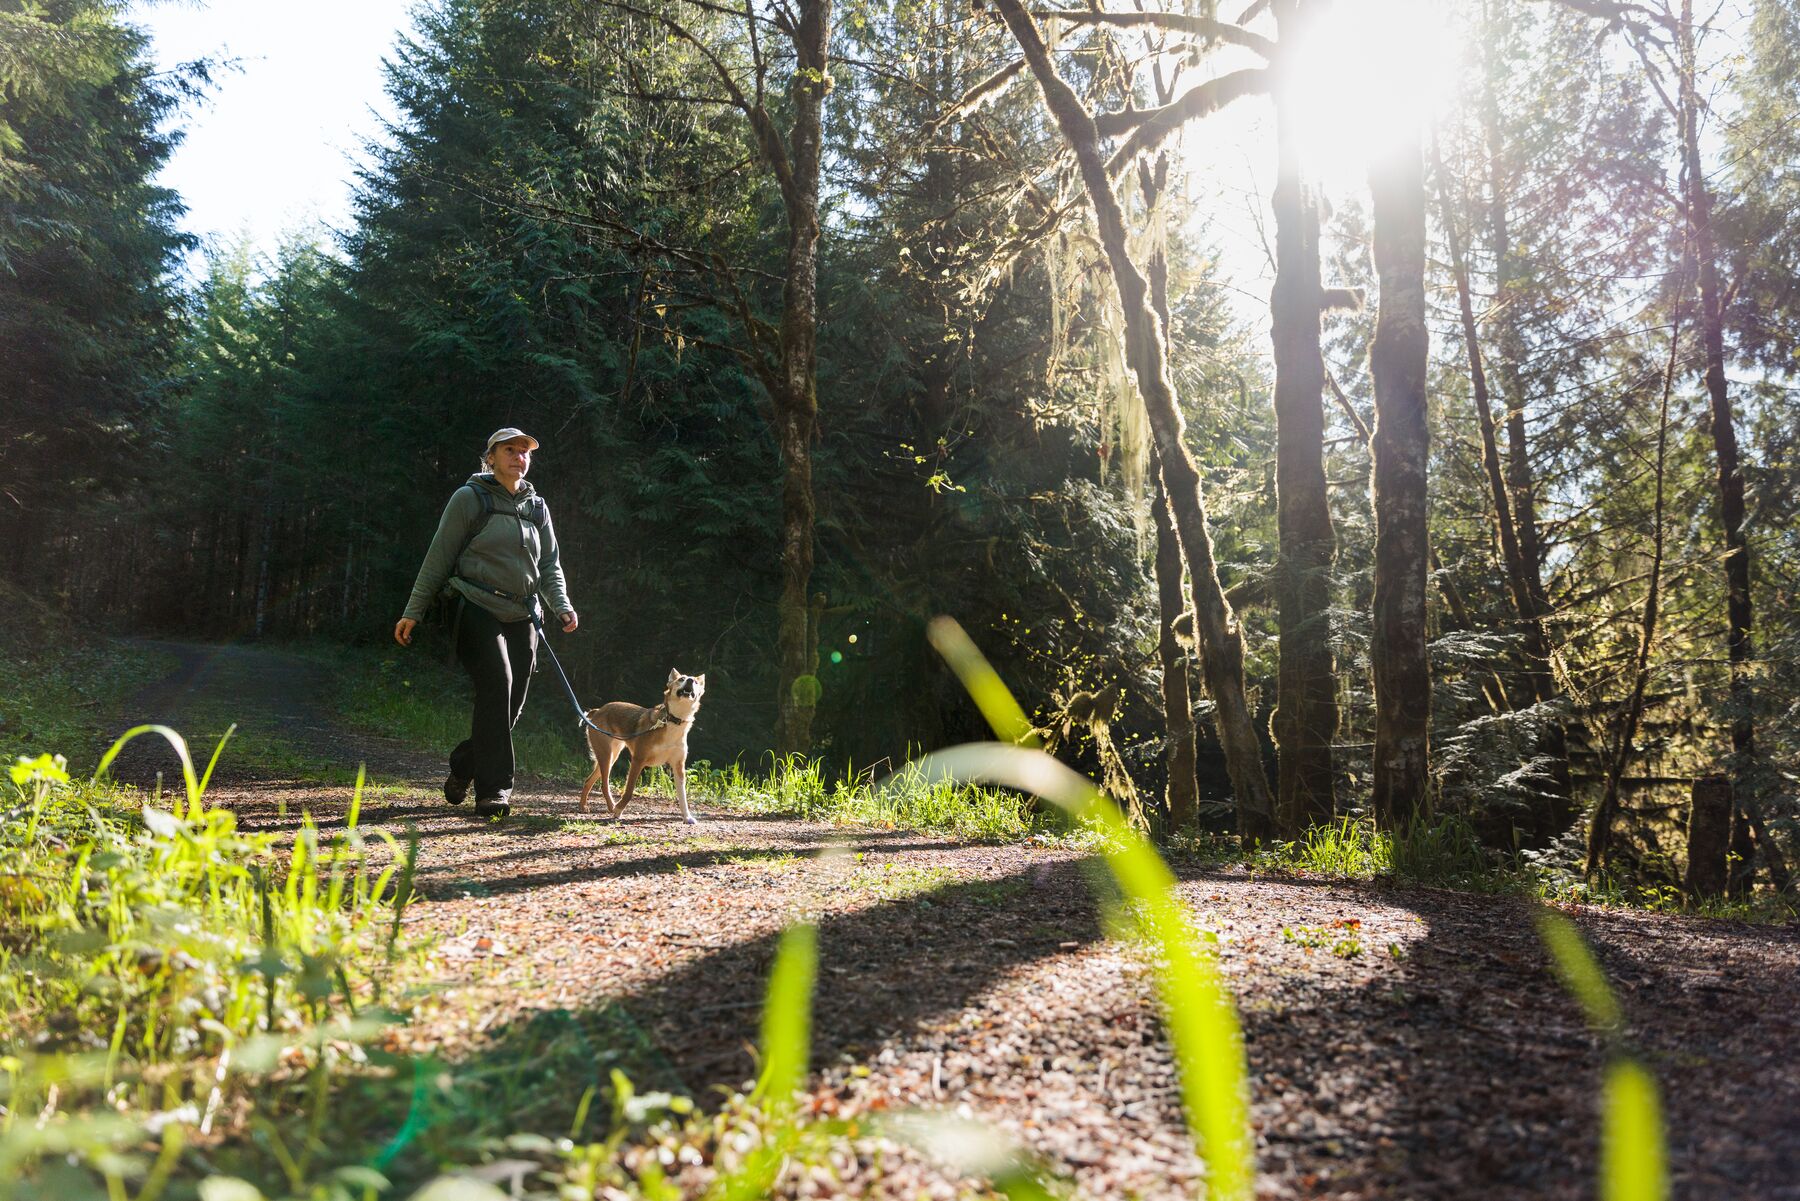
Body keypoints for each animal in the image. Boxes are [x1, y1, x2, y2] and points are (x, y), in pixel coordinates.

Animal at [586, 666, 705, 828]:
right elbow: (629, 791)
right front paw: (618, 810)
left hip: (611, 757)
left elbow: (683, 797)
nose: (691, 680)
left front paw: (687, 817)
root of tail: (599, 710)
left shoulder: (678, 767)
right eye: (682, 679)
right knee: (604, 785)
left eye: (696, 683)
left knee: (588, 781)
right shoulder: (638, 761)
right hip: (606, 756)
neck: (673, 722)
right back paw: (612, 807)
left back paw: (582, 807)